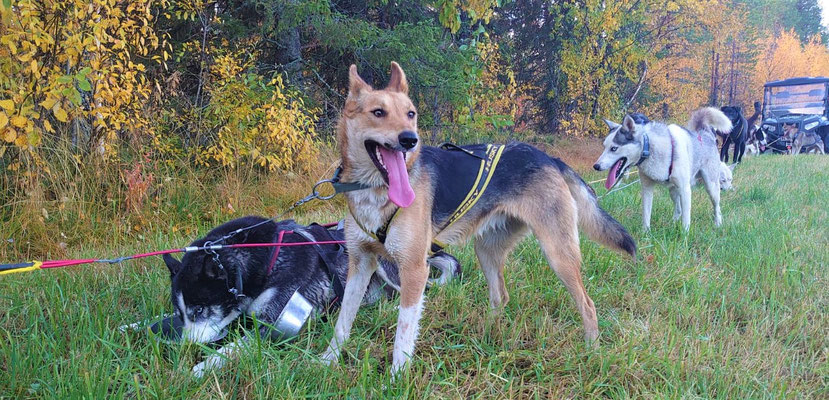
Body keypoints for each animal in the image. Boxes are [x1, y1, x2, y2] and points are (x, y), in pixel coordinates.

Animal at [320, 61, 636, 376]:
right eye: (378, 112)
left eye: (410, 114)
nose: (410, 140)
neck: (374, 191)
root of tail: (549, 158)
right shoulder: (360, 264)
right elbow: (343, 322)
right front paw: (327, 360)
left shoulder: (414, 270)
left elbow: (403, 332)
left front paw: (398, 376)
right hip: (486, 250)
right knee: (501, 296)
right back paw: (487, 338)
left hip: (558, 255)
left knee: (587, 304)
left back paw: (592, 352)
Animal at [596, 107, 732, 231]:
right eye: (604, 147)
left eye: (614, 148)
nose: (596, 166)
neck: (650, 147)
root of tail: (705, 133)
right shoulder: (647, 189)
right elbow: (646, 214)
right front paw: (645, 233)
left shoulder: (685, 190)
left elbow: (686, 219)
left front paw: (684, 235)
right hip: (673, 191)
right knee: (678, 209)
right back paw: (673, 223)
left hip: (711, 187)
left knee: (716, 207)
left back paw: (718, 223)